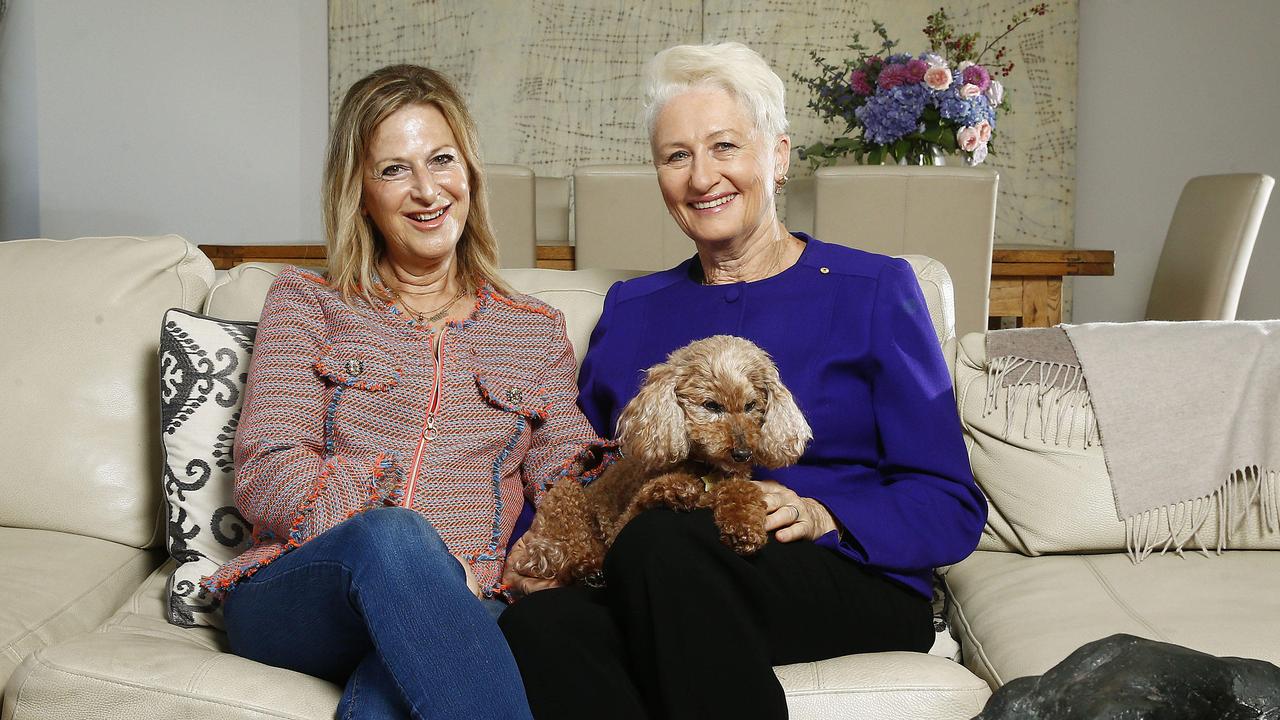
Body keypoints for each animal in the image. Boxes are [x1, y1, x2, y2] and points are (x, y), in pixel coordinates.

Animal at [509, 333, 808, 586]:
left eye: (751, 406)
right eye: (711, 406)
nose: (743, 454)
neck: (705, 467)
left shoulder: (734, 479)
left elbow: (742, 490)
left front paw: (744, 527)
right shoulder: (621, 525)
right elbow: (645, 497)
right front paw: (675, 489)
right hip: (566, 494)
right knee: (574, 548)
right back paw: (589, 569)